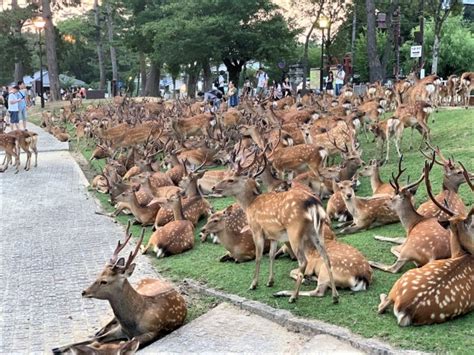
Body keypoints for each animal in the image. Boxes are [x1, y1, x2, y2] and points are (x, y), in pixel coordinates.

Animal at [51, 222, 186, 354]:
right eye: (98, 274)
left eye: (104, 281)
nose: (84, 292)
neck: (130, 324)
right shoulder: (120, 329)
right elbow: (96, 339)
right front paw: (58, 348)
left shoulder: (152, 331)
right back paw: (98, 331)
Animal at [213, 161, 338, 304]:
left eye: (231, 179)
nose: (214, 187)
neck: (249, 205)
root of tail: (314, 204)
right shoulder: (273, 234)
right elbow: (271, 255)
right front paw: (270, 282)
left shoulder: (256, 229)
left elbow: (259, 256)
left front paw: (253, 284)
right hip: (317, 230)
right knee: (326, 257)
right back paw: (335, 296)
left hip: (294, 231)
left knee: (303, 261)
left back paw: (293, 296)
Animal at [378, 161, 474, 326]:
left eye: (392, 197)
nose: (386, 204)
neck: (413, 223)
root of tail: (405, 310)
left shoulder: (406, 240)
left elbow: (394, 242)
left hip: (404, 267)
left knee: (393, 269)